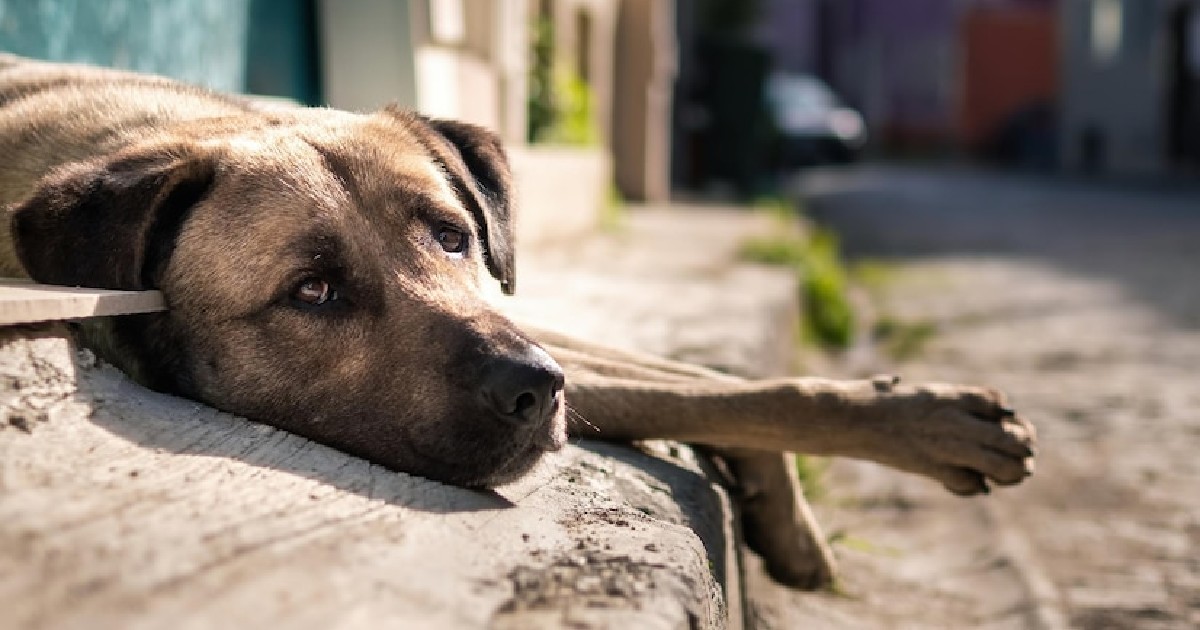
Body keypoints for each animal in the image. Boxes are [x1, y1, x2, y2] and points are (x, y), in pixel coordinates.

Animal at [0, 55, 1032, 590]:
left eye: (453, 236)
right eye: (312, 291)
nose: (537, 391)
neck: (147, 133)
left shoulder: (521, 317)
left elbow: (717, 384)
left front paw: (895, 433)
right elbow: (710, 390)